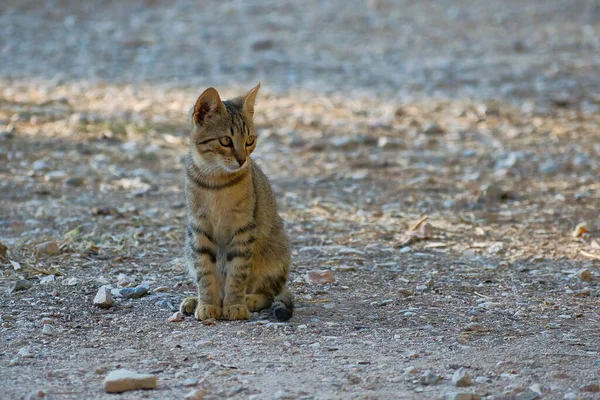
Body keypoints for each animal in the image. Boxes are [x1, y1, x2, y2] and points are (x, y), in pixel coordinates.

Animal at [177, 83, 294, 322]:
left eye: (250, 140)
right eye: (225, 141)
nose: (242, 160)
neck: (216, 182)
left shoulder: (244, 230)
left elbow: (238, 273)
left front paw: (235, 305)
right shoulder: (199, 229)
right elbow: (205, 272)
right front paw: (207, 304)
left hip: (275, 251)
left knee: (270, 291)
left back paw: (251, 299)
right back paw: (196, 301)